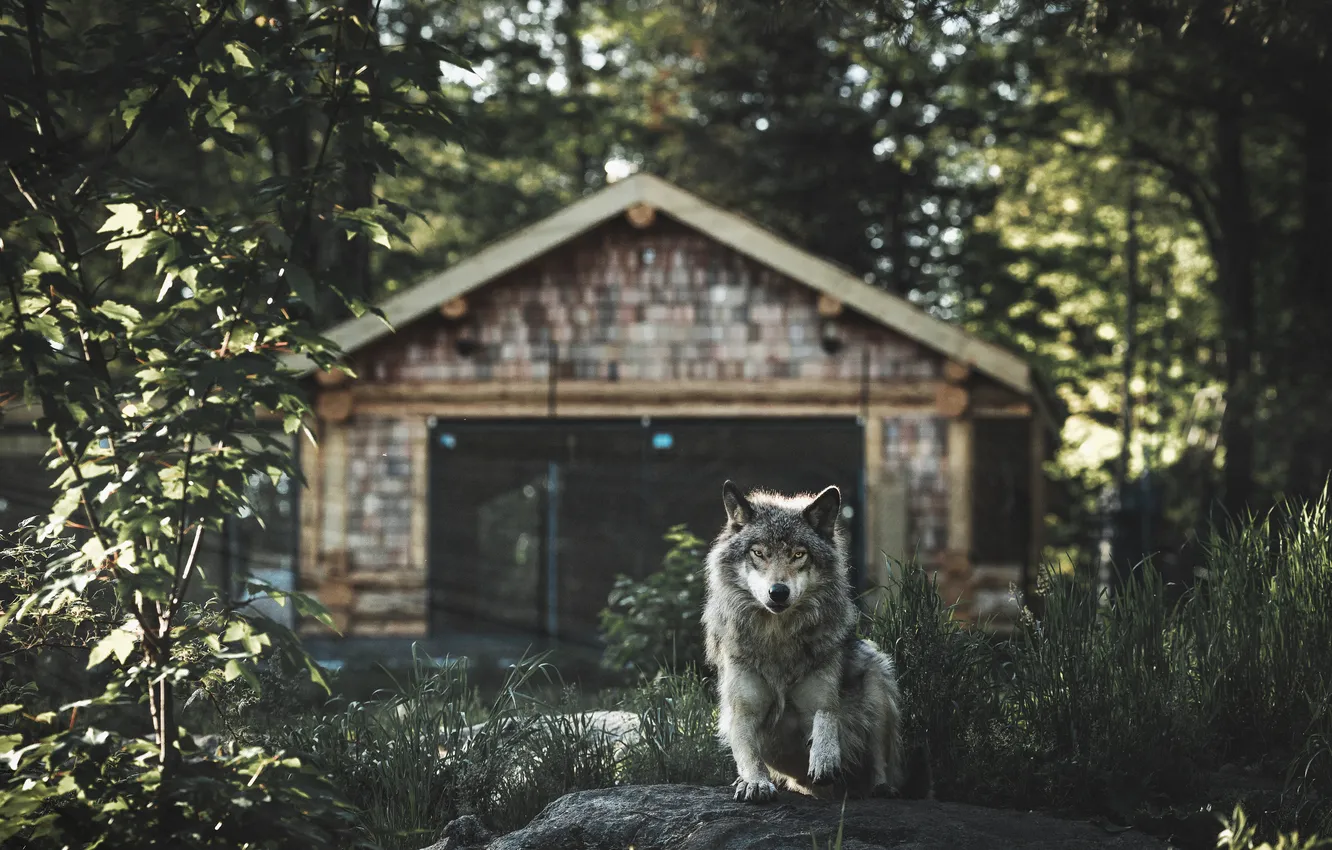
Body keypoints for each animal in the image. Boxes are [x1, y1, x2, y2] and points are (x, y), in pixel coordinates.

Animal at [702, 480, 910, 803]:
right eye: (759, 553)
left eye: (799, 555)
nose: (778, 592)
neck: (779, 639)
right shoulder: (743, 711)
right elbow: (749, 755)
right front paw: (754, 783)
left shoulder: (821, 699)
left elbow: (827, 717)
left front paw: (824, 757)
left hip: (876, 672)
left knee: (881, 764)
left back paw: (882, 789)